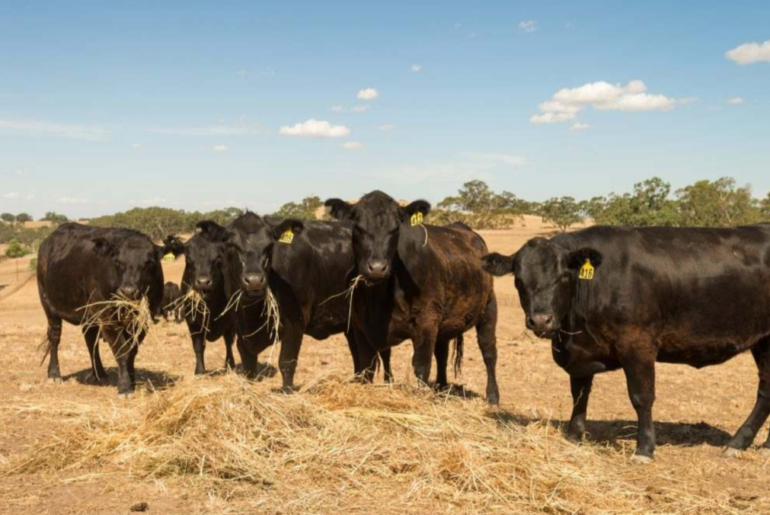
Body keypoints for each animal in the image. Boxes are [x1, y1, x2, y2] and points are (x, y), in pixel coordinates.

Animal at [37, 223, 168, 397]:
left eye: (149, 262)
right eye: (118, 262)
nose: (128, 291)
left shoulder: (145, 319)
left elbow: (132, 350)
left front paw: (132, 380)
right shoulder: (107, 317)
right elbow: (121, 349)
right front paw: (125, 386)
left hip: (89, 313)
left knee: (90, 338)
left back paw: (99, 374)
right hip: (48, 305)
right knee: (54, 337)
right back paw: (54, 373)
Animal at [166, 221, 237, 375]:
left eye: (218, 258)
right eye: (188, 259)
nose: (203, 282)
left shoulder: (229, 319)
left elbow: (228, 342)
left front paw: (230, 365)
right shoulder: (191, 320)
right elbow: (198, 345)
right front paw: (199, 370)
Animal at [222, 212, 391, 390]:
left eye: (270, 246)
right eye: (232, 245)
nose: (254, 281)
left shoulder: (295, 323)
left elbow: (287, 363)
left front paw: (287, 392)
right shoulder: (241, 330)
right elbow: (248, 366)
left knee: (376, 356)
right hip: (351, 325)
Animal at [325, 191, 500, 404]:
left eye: (395, 228)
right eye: (357, 227)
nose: (377, 267)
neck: (380, 297)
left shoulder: (426, 322)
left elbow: (421, 366)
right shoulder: (360, 327)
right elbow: (366, 367)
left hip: (488, 307)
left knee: (488, 351)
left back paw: (493, 397)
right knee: (442, 353)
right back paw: (441, 388)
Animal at [482, 224, 770, 462]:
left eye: (563, 276)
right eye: (519, 280)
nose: (541, 320)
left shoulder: (637, 344)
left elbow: (641, 397)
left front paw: (644, 449)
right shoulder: (579, 354)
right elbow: (579, 394)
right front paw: (574, 435)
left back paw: (737, 443)